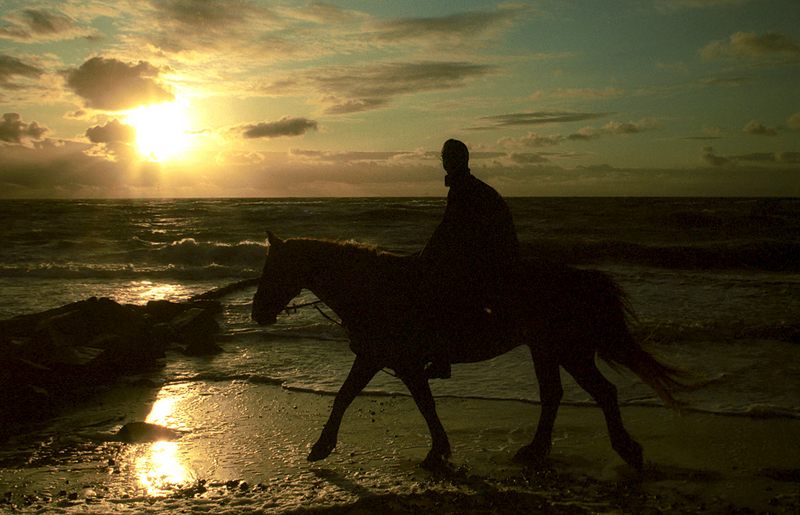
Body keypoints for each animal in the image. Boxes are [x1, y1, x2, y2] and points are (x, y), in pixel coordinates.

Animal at [253, 234, 684, 472]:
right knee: (553, 395)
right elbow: (364, 397)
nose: (257, 313)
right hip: (545, 348)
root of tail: (580, 278)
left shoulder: (393, 360)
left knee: (603, 392)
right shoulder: (387, 359)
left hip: (569, 350)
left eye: (273, 269)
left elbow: (377, 399)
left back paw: (627, 450)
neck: (376, 289)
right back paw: (534, 451)